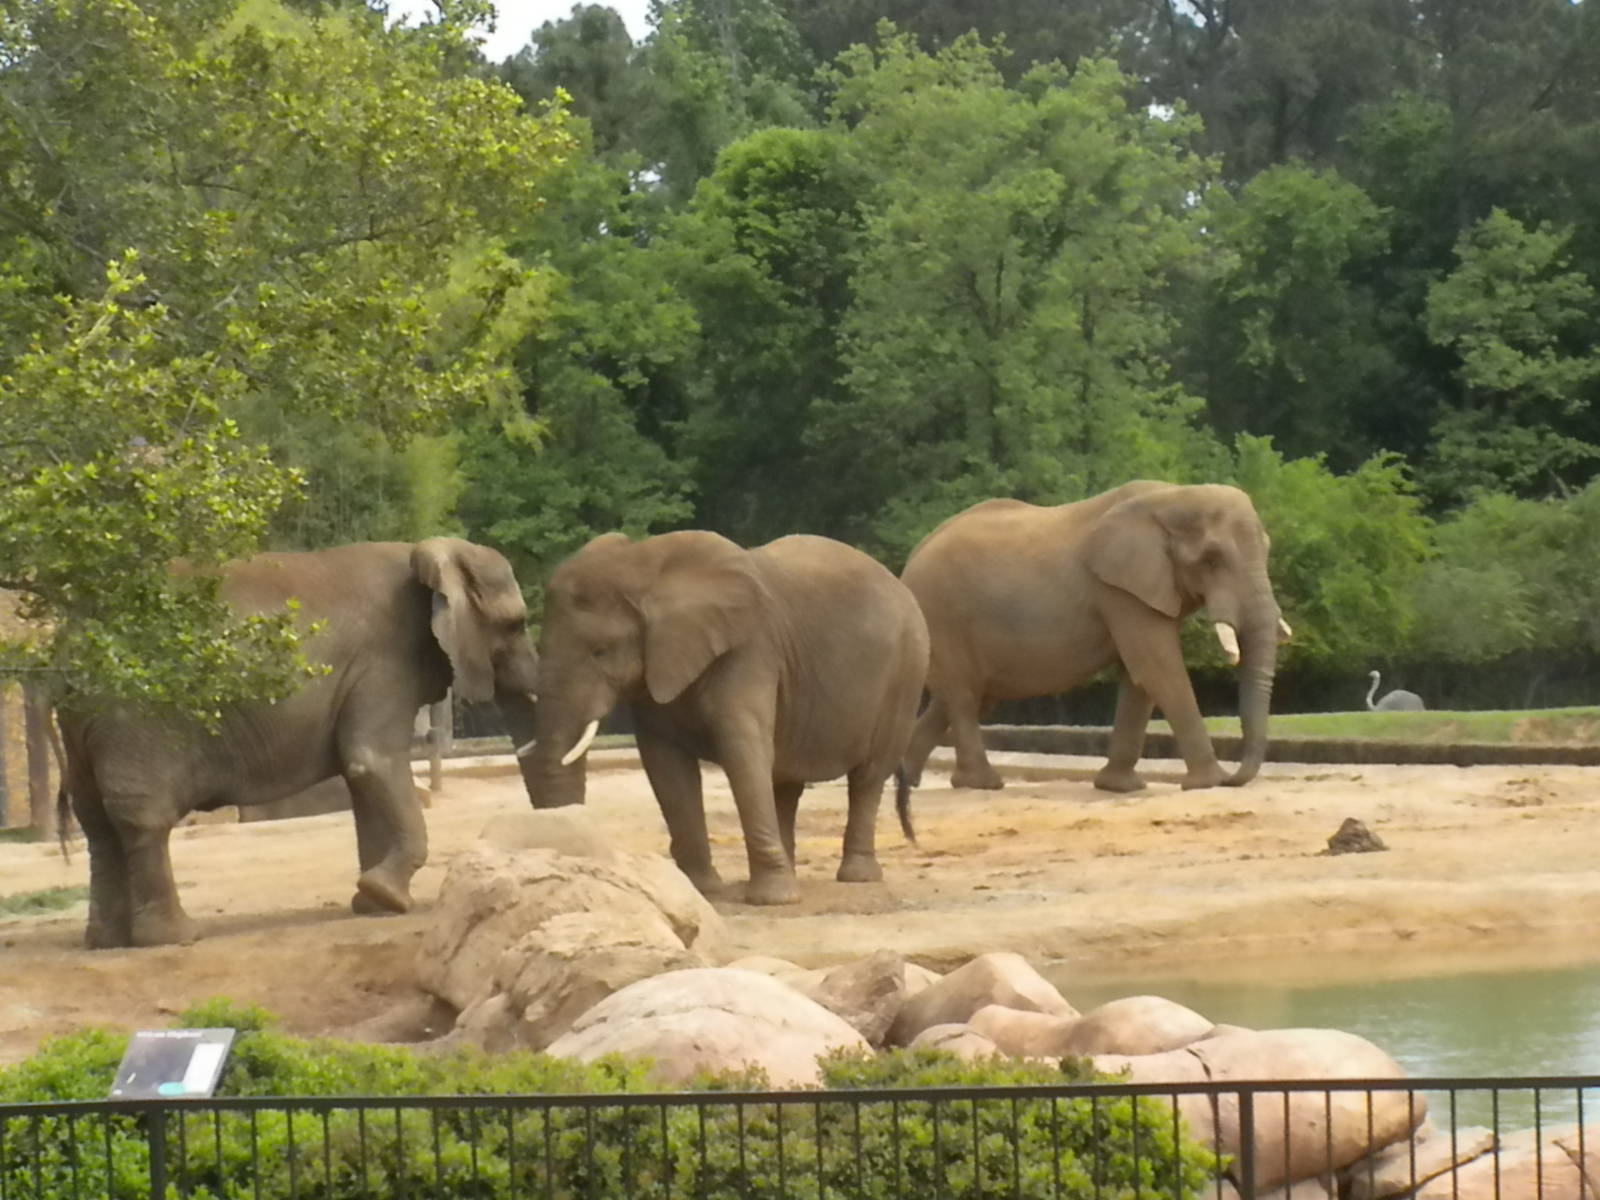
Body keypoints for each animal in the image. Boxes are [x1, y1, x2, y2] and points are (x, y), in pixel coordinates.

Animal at [57, 538, 541, 948]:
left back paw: (105, 941)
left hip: (83, 724)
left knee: (96, 821)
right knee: (144, 818)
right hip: (138, 715)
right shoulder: (385, 662)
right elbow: (372, 762)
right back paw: (174, 937)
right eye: (516, 624)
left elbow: (361, 775)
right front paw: (388, 897)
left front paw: (373, 904)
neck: (428, 553)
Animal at [525, 530, 930, 905]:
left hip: (906, 674)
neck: (646, 567)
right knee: (786, 782)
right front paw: (700, 890)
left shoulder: (750, 650)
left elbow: (743, 751)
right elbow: (666, 767)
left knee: (869, 776)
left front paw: (772, 900)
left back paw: (856, 876)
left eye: (600, 651)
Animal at [899, 480, 1289, 794]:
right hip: (942, 615)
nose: (1233, 778)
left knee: (964, 698)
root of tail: (910, 559)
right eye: (1211, 560)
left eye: (1269, 548)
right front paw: (1208, 782)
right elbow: (1158, 668)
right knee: (964, 697)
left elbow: (1139, 679)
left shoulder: (1136, 591)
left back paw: (908, 781)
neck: (1172, 496)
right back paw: (982, 784)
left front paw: (1121, 788)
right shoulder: (1118, 590)